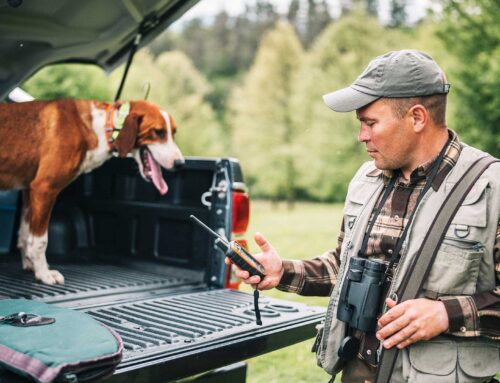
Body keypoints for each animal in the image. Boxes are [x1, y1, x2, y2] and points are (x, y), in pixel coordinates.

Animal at [0, 99, 184, 284]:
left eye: (174, 133)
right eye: (159, 132)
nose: (181, 164)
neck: (101, 126)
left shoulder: (28, 190)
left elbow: (25, 236)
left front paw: (31, 265)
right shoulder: (44, 188)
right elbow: (40, 241)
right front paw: (44, 274)